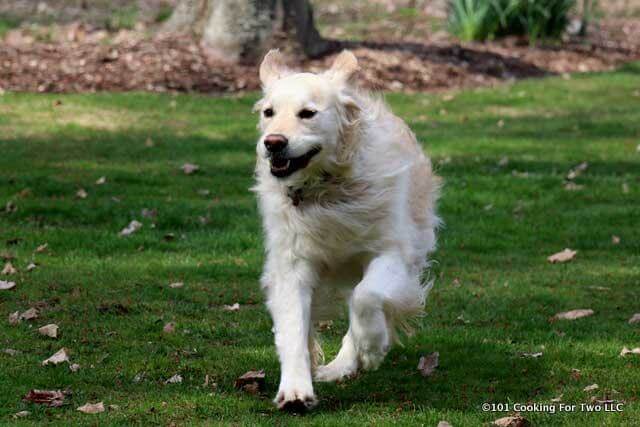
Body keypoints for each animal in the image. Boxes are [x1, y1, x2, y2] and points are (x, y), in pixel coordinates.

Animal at [254, 49, 440, 412]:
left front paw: (371, 345)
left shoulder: (392, 253)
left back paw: (347, 361)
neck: (326, 191)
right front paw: (295, 390)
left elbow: (366, 298)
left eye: (308, 113)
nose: (272, 143)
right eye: (269, 112)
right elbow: (294, 327)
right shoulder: (291, 265)